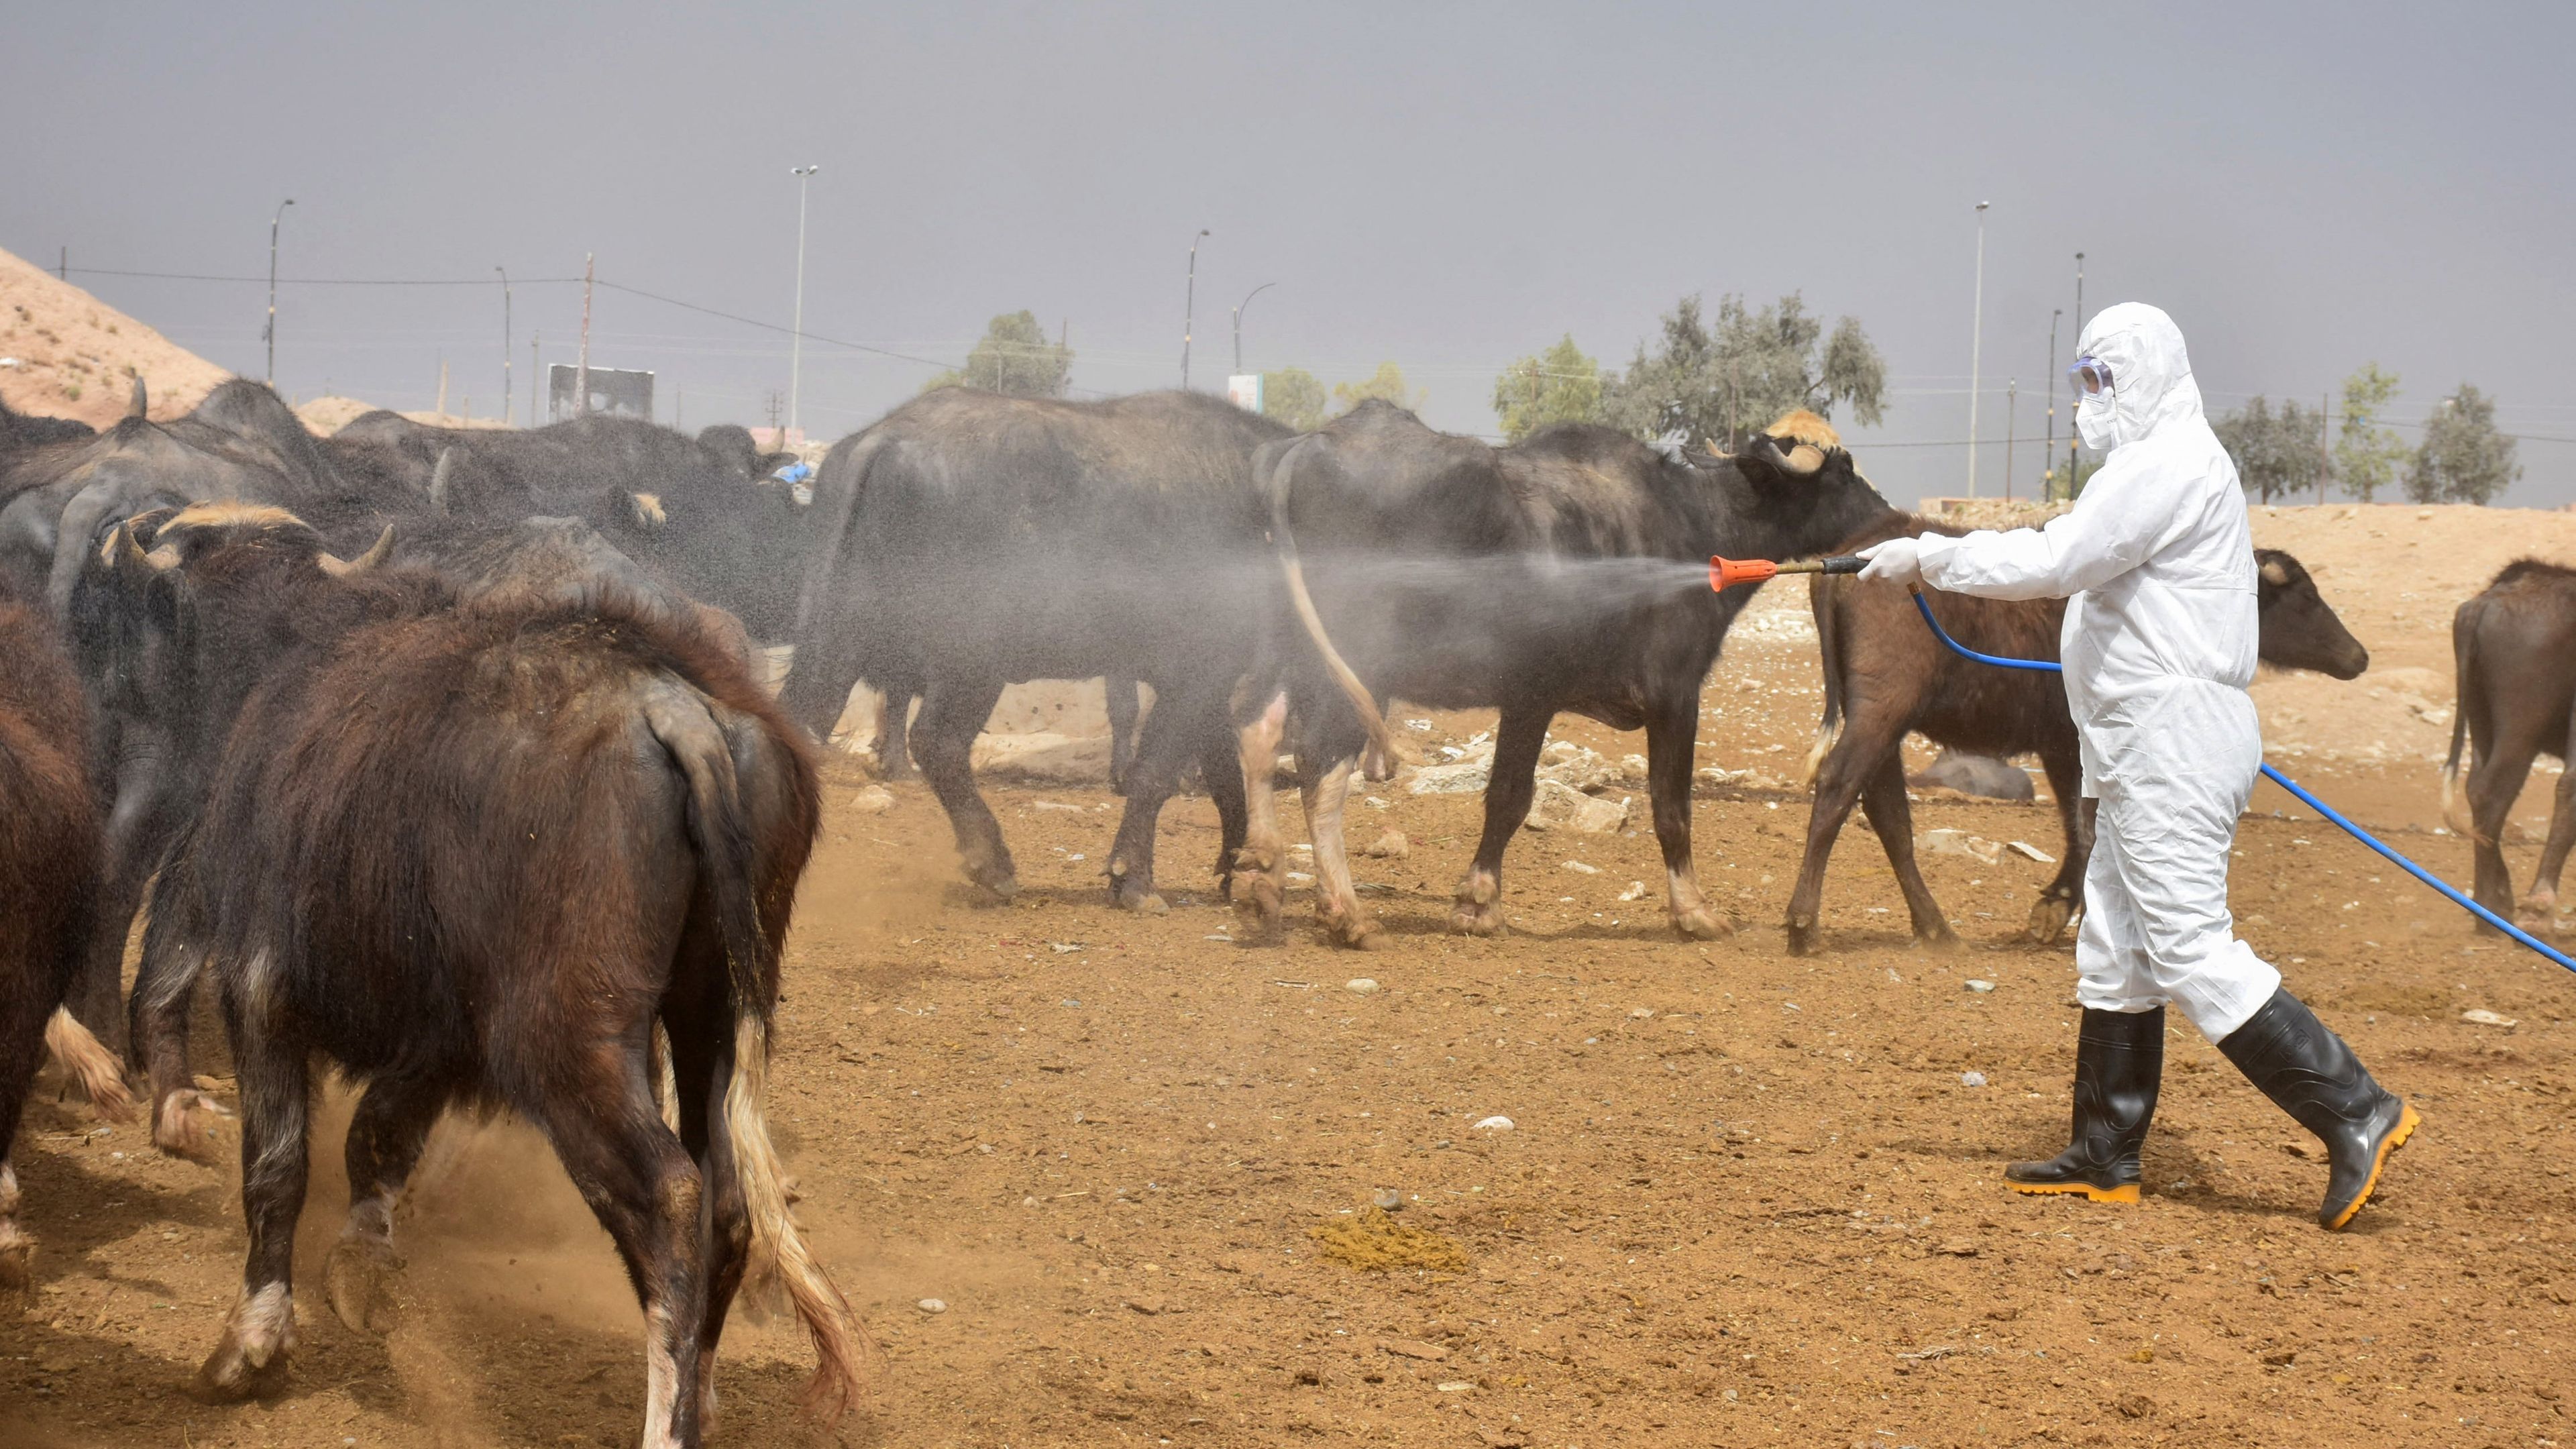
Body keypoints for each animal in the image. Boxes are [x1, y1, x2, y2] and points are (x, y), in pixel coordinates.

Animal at [91, 505, 860, 1433]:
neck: (282, 660)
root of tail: (675, 708)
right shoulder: (440, 1036)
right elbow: (378, 1138)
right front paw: (360, 1267)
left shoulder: (261, 988)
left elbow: (278, 1167)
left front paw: (251, 1342)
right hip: (712, 1014)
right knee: (728, 1199)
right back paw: (702, 1399)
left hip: (567, 1044)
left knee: (668, 1195)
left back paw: (665, 1419)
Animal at [1792, 515, 2369, 949]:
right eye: (2305, 596)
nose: (2359, 656)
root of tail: (1846, 561)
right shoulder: (2084, 743)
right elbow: (2091, 828)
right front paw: (2073, 912)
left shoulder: (2060, 748)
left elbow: (2079, 828)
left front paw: (2055, 908)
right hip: (1881, 710)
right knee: (1840, 784)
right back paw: (1803, 921)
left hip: (1885, 722)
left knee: (1887, 812)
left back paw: (1936, 930)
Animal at [2442, 559, 2565, 928]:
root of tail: (2484, 603)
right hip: (2520, 728)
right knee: (2495, 792)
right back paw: (2511, 908)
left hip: (2482, 720)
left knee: (2478, 792)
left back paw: (2490, 909)